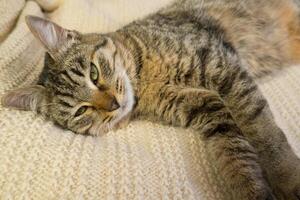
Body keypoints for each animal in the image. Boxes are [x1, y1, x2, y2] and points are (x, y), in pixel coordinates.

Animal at [1, 0, 300, 199]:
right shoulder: (206, 106)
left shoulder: (222, 66)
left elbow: (263, 131)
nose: (113, 104)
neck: (144, 79)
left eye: (94, 73)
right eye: (81, 111)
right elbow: (234, 155)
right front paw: (254, 190)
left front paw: (287, 179)